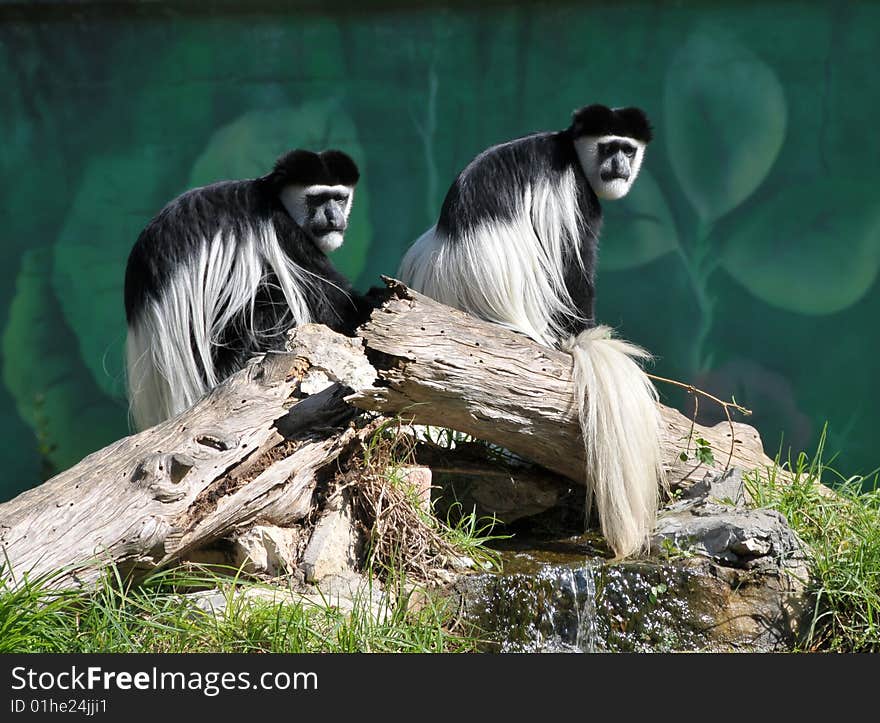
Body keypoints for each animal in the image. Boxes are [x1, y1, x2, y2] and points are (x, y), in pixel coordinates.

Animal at [125, 147, 370, 430]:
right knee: (270, 301)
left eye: (339, 199)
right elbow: (337, 306)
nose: (333, 218)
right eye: (316, 200)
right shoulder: (282, 231)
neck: (271, 195)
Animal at [398, 103, 660, 560]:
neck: (572, 150)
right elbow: (576, 263)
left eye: (627, 148)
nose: (619, 166)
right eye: (609, 147)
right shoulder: (573, 194)